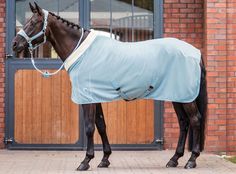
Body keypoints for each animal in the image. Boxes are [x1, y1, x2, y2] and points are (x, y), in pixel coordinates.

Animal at [12, 2, 207, 171]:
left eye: (33, 23)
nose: (15, 44)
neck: (84, 52)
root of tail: (195, 52)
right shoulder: (95, 98)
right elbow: (101, 125)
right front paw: (104, 159)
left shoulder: (88, 99)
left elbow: (90, 127)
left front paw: (85, 161)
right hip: (177, 95)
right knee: (184, 122)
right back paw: (174, 159)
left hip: (185, 97)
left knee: (195, 120)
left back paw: (192, 160)